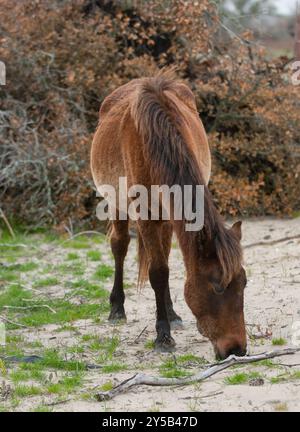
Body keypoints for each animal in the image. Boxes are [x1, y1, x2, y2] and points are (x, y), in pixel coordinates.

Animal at [91, 71, 246, 360]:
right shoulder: (144, 216)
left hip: (164, 220)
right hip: (117, 206)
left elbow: (164, 267)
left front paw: (168, 320)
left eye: (244, 282)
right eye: (217, 286)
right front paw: (163, 336)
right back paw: (117, 308)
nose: (236, 349)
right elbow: (158, 272)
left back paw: (172, 313)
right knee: (120, 246)